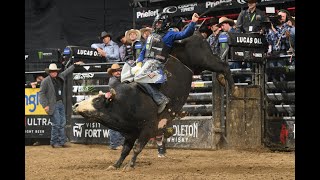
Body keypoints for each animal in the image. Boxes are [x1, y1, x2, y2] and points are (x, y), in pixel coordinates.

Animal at [72, 31, 238, 170]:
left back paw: (233, 88)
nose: (76, 104)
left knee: (223, 65)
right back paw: (221, 79)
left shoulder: (148, 128)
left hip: (204, 59)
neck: (126, 103)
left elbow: (137, 147)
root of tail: (195, 35)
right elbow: (125, 150)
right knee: (220, 66)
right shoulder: (130, 132)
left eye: (97, 100)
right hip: (200, 65)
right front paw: (116, 165)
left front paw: (130, 166)